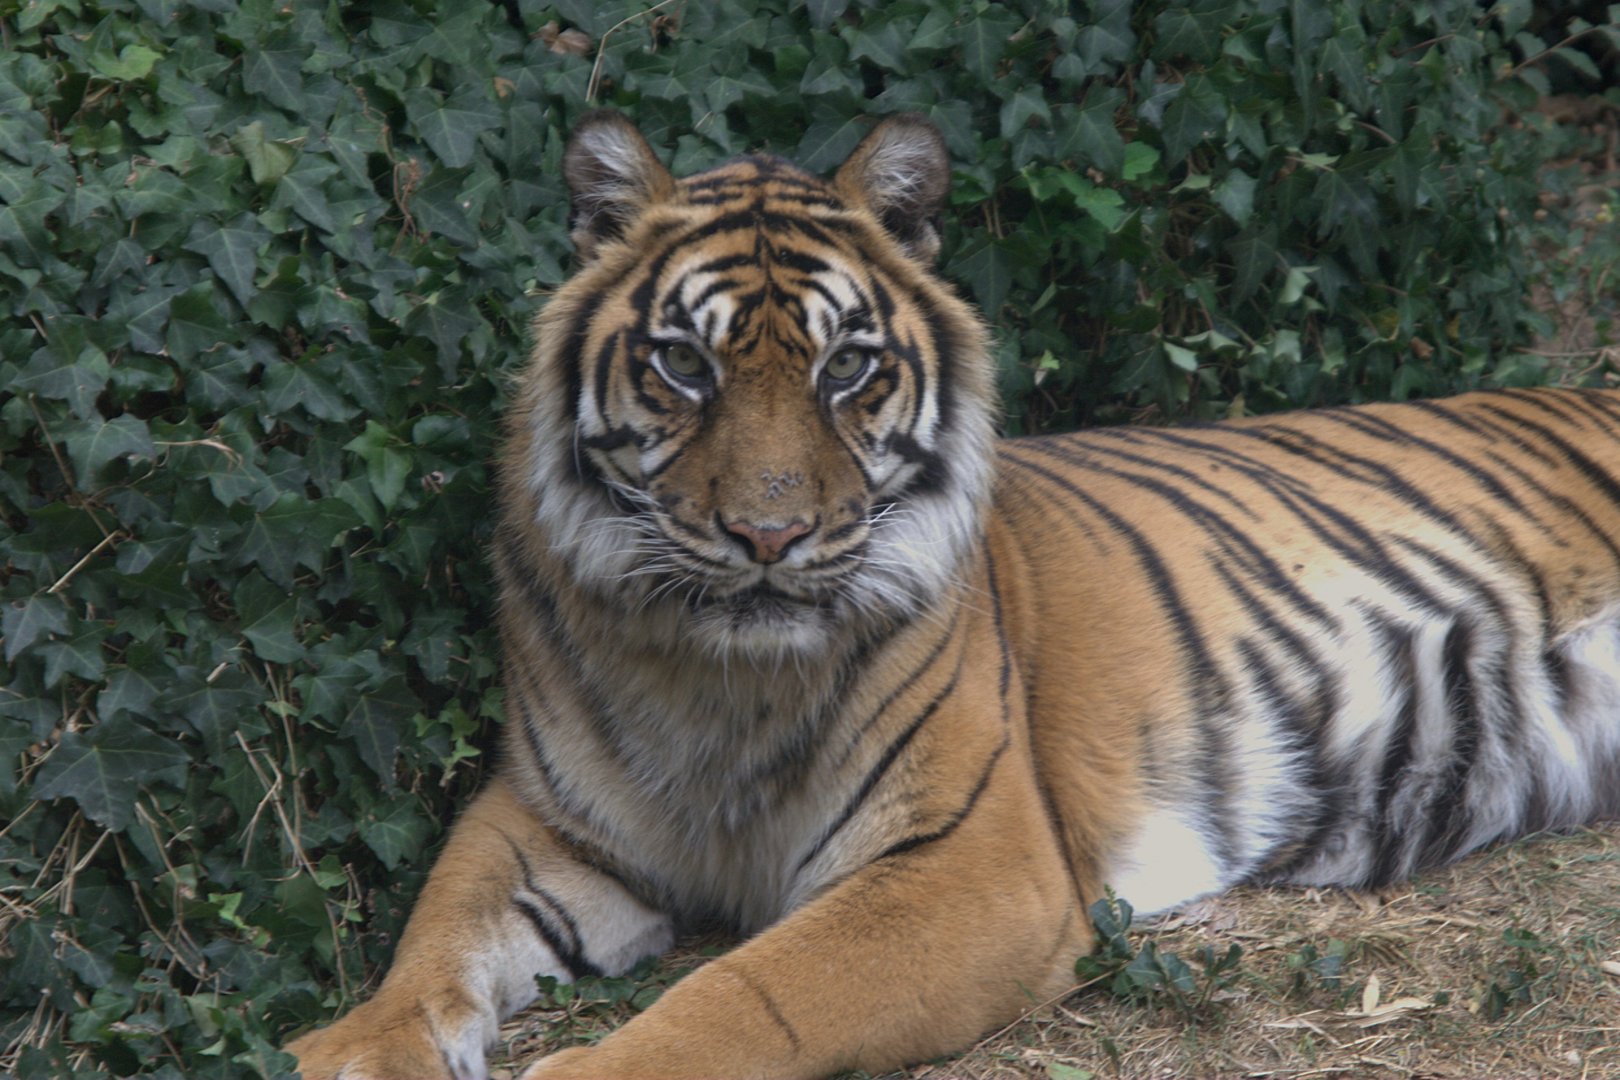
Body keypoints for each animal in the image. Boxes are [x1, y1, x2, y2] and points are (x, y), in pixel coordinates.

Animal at [285, 112, 1620, 1080]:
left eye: (847, 367)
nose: (768, 534)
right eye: (683, 364)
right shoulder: (547, 818)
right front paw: (347, 1050)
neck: (720, 679)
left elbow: (744, 997)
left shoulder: (970, 862)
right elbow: (433, 938)